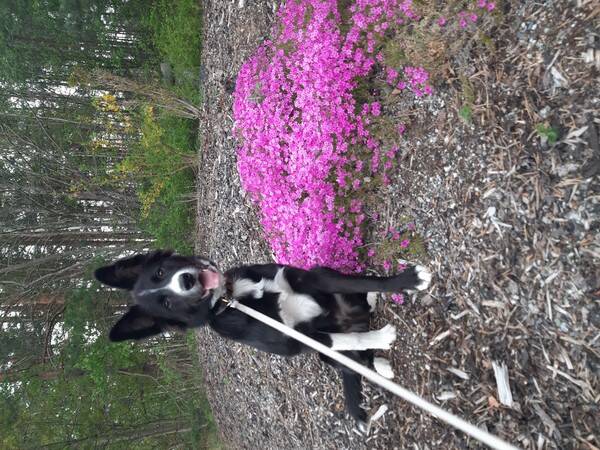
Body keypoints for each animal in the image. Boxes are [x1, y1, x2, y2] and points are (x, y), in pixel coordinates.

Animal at [94, 250, 432, 428]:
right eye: (165, 303)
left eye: (161, 272)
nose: (187, 279)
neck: (232, 299)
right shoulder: (297, 341)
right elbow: (343, 344)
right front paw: (383, 337)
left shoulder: (314, 278)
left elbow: (360, 280)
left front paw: (406, 280)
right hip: (328, 347)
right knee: (348, 358)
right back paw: (377, 360)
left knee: (358, 305)